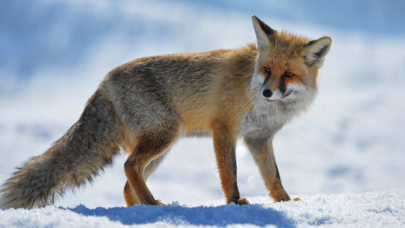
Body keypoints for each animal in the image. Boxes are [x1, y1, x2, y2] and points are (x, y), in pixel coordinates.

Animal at [0, 15, 328, 208]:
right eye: (267, 70)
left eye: (288, 75)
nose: (267, 92)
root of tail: (104, 81)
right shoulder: (224, 129)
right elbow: (230, 174)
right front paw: (235, 204)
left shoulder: (258, 139)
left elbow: (273, 176)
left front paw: (287, 202)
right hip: (164, 136)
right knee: (129, 167)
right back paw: (154, 204)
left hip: (161, 149)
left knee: (127, 185)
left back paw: (141, 211)